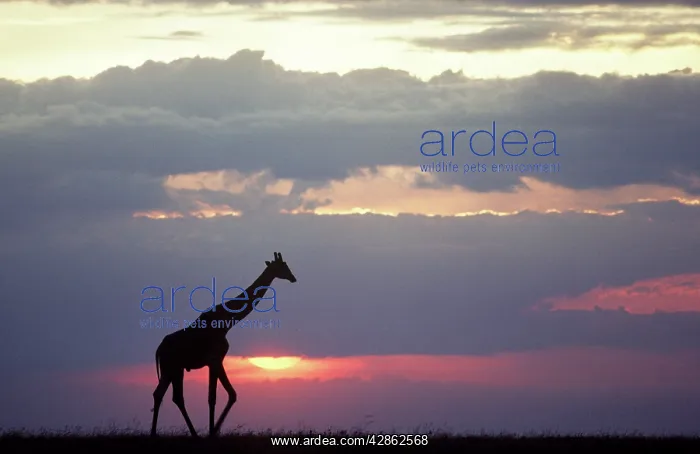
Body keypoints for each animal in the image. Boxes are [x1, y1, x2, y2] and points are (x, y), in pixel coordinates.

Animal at [150, 252, 297, 437]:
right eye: (282, 266)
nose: (293, 278)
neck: (228, 321)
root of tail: (158, 349)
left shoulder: (215, 361)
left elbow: (221, 395)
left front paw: (212, 431)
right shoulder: (215, 360)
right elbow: (220, 396)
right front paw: (212, 432)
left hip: (175, 369)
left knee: (169, 395)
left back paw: (181, 434)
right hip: (171, 367)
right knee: (166, 395)